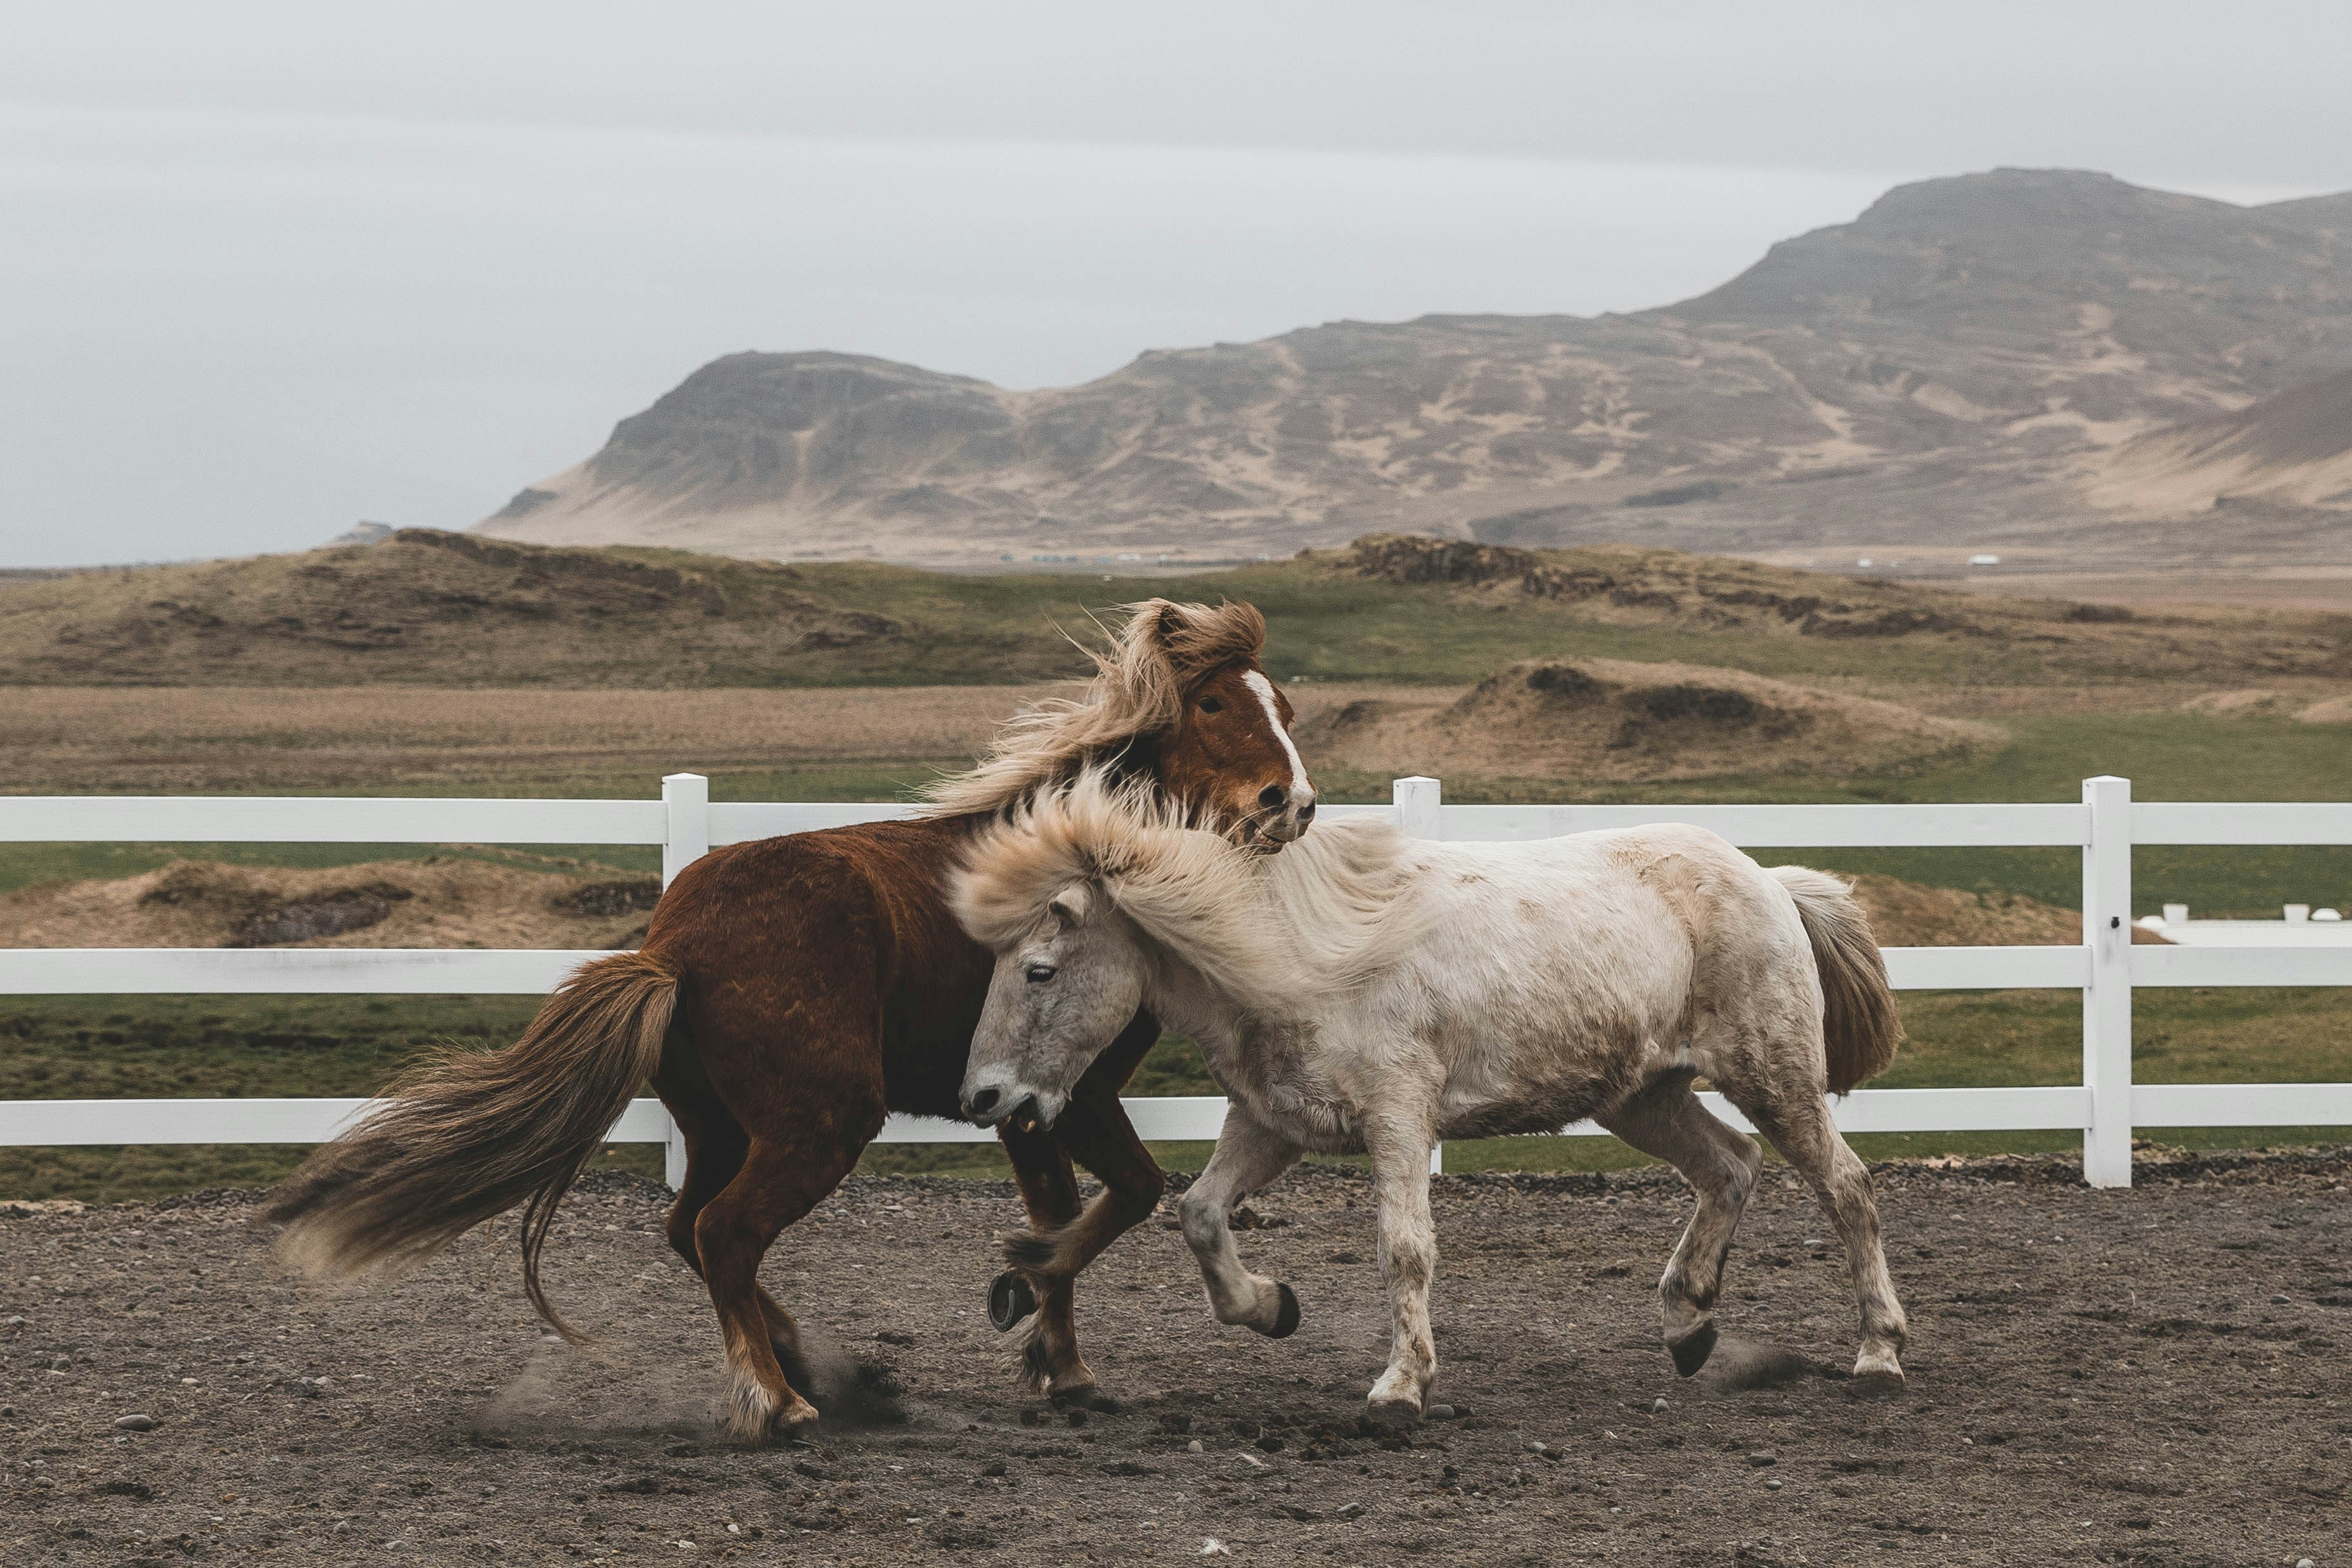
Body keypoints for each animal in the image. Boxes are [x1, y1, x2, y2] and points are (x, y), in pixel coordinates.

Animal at [270, 606, 1327, 1438]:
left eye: (1284, 706)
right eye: (1213, 704)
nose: (1293, 803)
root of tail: (674, 948)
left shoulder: (1027, 1105)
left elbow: (1061, 1210)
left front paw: (1056, 1357)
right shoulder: (1075, 1090)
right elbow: (1128, 1194)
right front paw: (1033, 1297)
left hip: (723, 1126)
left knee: (687, 1227)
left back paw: (799, 1360)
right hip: (823, 1121)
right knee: (725, 1230)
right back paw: (779, 1399)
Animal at [950, 771, 1910, 1420]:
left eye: (1038, 970)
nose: (982, 1096)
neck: (1300, 955)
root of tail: (1771, 880)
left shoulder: (1397, 1118)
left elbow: (1404, 1249)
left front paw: (1400, 1385)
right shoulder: (1271, 1122)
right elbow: (1199, 1214)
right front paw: (1272, 1306)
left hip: (1772, 1077)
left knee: (1845, 1187)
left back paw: (1878, 1353)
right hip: (1642, 1097)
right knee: (1729, 1168)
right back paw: (1688, 1324)